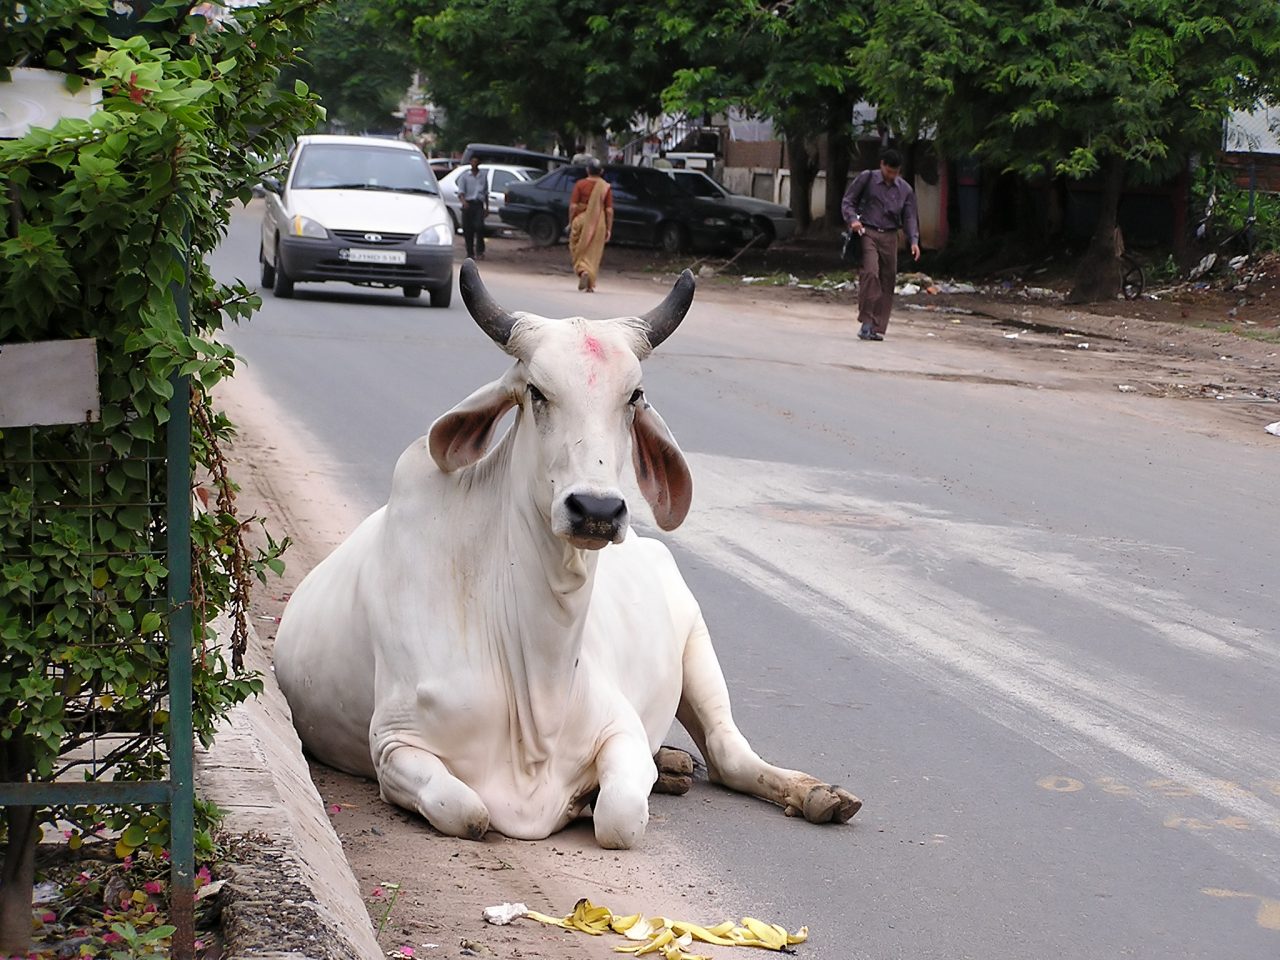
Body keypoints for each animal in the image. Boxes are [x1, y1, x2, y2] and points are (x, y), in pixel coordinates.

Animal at [276, 263, 865, 849]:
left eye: (634, 395)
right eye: (536, 391)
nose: (597, 508)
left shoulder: (622, 728)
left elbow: (620, 816)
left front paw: (591, 795)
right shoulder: (394, 745)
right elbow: (467, 810)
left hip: (696, 643)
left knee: (727, 755)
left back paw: (815, 794)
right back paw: (676, 767)